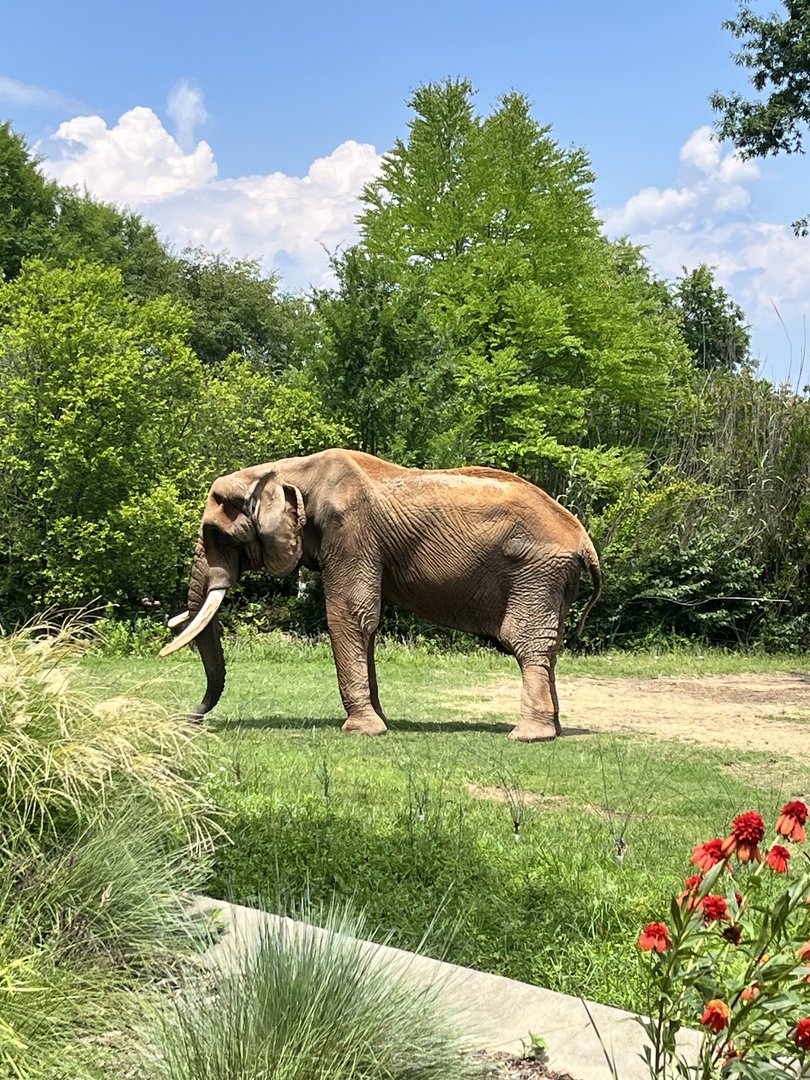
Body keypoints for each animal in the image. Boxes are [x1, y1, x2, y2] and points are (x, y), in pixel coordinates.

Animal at [161, 449, 601, 741]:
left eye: (217, 535)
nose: (193, 719)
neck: (285, 470)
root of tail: (583, 538)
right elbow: (364, 623)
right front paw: (379, 722)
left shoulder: (349, 531)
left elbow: (348, 613)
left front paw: (361, 731)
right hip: (552, 578)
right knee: (548, 646)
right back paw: (553, 729)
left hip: (536, 572)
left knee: (528, 643)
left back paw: (529, 735)